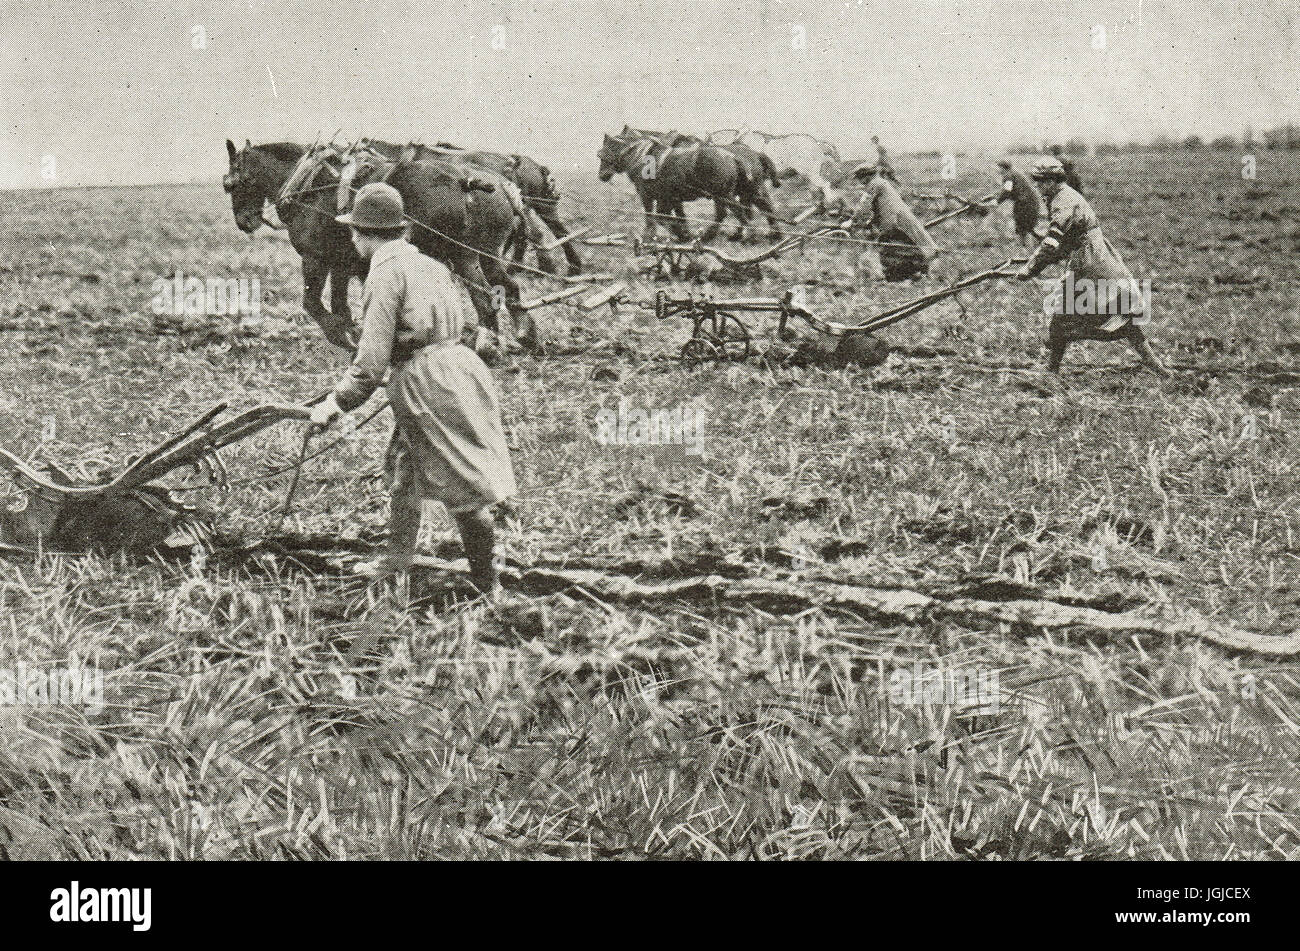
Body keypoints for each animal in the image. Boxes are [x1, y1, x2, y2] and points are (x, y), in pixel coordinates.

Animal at [595, 129, 769, 245]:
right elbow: (674, 216)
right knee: (729, 213)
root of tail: (733, 157)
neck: (643, 157)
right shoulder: (670, 198)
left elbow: (654, 217)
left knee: (738, 213)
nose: (602, 176)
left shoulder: (648, 196)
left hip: (723, 195)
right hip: (724, 195)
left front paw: (652, 237)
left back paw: (749, 236)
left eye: (602, 154)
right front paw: (684, 235)